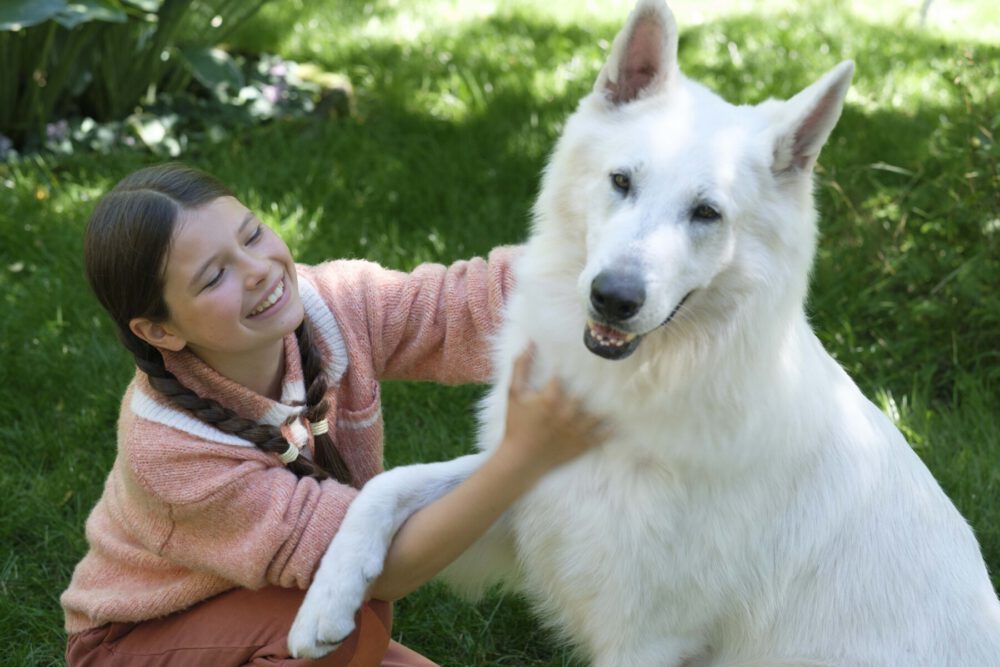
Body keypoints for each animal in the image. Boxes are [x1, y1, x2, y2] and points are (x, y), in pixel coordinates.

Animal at [290, 2, 1000, 664]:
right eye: (622, 182)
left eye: (706, 213)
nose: (614, 298)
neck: (630, 397)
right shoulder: (518, 498)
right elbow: (389, 484)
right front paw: (325, 602)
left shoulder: (647, 635)